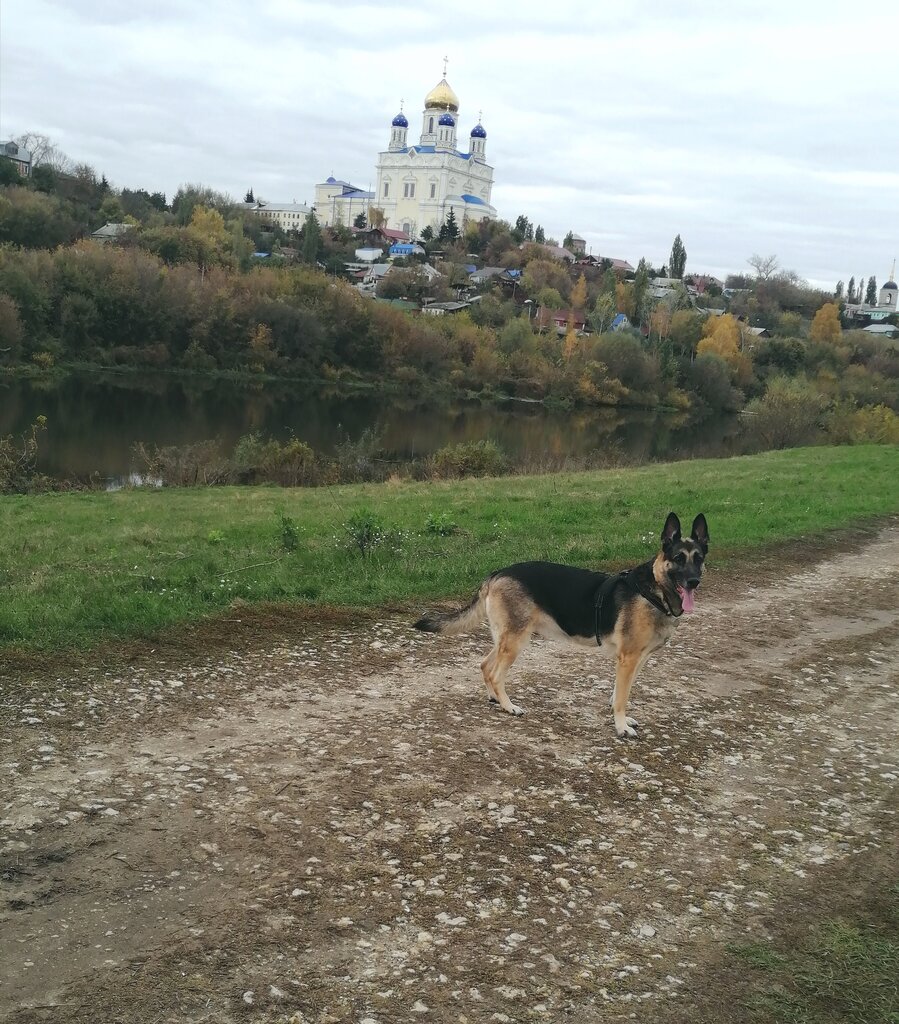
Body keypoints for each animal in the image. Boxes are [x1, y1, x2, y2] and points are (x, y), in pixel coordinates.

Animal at [415, 512, 712, 737]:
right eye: (678, 559)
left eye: (698, 559)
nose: (694, 582)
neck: (654, 589)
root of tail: (497, 573)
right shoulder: (628, 659)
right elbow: (622, 697)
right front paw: (621, 727)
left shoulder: (637, 659)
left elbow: (619, 693)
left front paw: (622, 718)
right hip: (516, 640)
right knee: (496, 673)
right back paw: (509, 706)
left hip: (505, 637)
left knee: (485, 666)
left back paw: (495, 699)